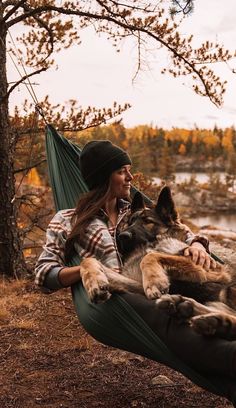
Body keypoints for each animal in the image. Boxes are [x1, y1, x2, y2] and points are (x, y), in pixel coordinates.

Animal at [79, 186, 236, 340]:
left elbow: (151, 256)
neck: (151, 242)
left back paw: (212, 320)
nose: (122, 236)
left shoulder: (210, 271)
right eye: (129, 222)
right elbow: (87, 260)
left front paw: (154, 280)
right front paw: (94, 282)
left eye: (148, 221)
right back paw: (190, 310)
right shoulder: (137, 285)